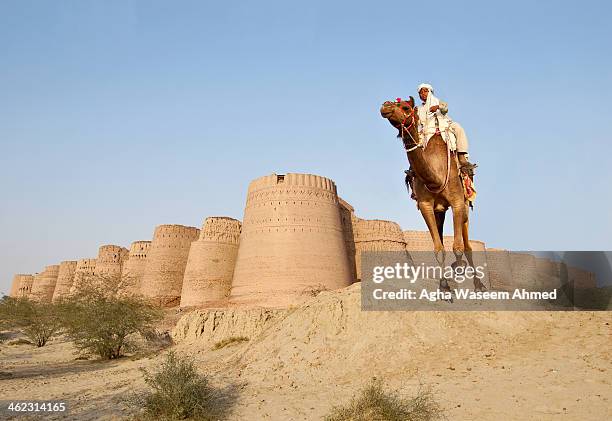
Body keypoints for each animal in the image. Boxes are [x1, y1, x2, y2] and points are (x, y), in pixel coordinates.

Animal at [380, 97, 486, 292]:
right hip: (440, 211)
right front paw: (444, 287)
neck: (435, 176)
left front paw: (459, 267)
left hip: (466, 204)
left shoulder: (457, 202)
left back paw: (478, 284)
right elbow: (438, 249)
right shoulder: (426, 205)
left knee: (468, 245)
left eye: (405, 107)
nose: (385, 105)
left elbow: (458, 247)